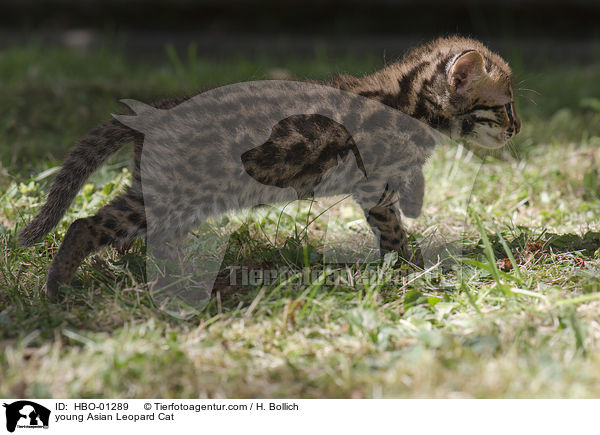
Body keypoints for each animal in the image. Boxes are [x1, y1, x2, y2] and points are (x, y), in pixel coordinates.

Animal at [19, 36, 520, 300]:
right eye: (505, 106)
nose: (517, 129)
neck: (409, 101)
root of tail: (156, 112)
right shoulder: (374, 183)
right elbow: (392, 228)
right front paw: (408, 266)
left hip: (168, 195)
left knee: (146, 240)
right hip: (174, 194)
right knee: (85, 224)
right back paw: (57, 288)